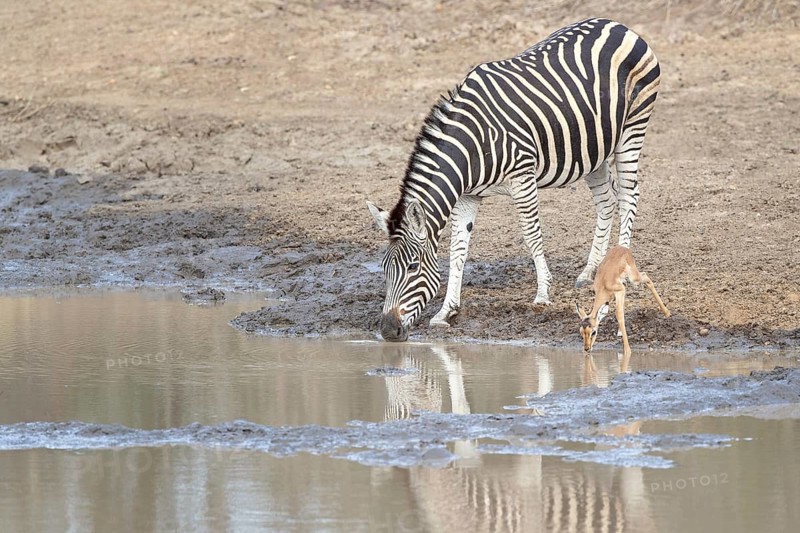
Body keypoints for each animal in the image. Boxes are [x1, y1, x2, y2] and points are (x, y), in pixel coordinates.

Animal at [367, 18, 660, 342]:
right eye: (384, 268)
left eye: (412, 267)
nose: (388, 330)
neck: (472, 144)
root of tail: (617, 24)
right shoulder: (467, 195)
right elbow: (458, 250)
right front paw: (447, 311)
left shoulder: (522, 178)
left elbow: (532, 236)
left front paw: (543, 294)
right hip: (593, 147)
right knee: (607, 200)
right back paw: (590, 271)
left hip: (632, 128)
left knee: (629, 194)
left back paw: (621, 264)